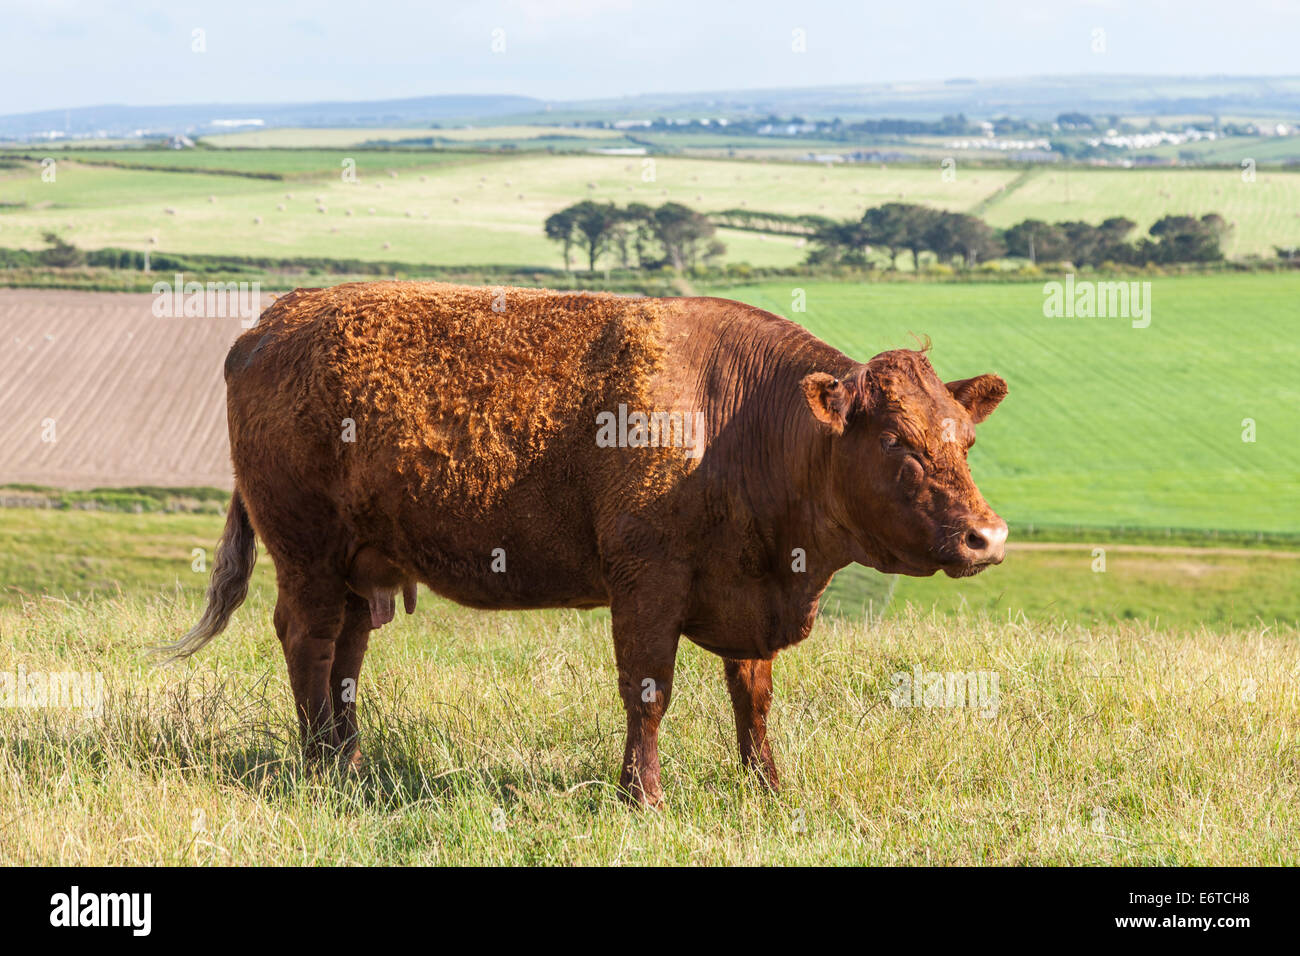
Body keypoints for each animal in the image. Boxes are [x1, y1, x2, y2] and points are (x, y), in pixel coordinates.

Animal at [165, 280, 1003, 806]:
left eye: (964, 439)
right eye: (898, 443)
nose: (986, 536)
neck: (737, 420)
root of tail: (272, 320)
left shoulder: (751, 587)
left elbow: (753, 697)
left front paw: (768, 787)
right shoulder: (647, 582)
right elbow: (649, 692)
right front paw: (644, 797)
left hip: (357, 565)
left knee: (346, 654)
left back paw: (352, 766)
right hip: (306, 552)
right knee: (308, 644)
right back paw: (318, 769)